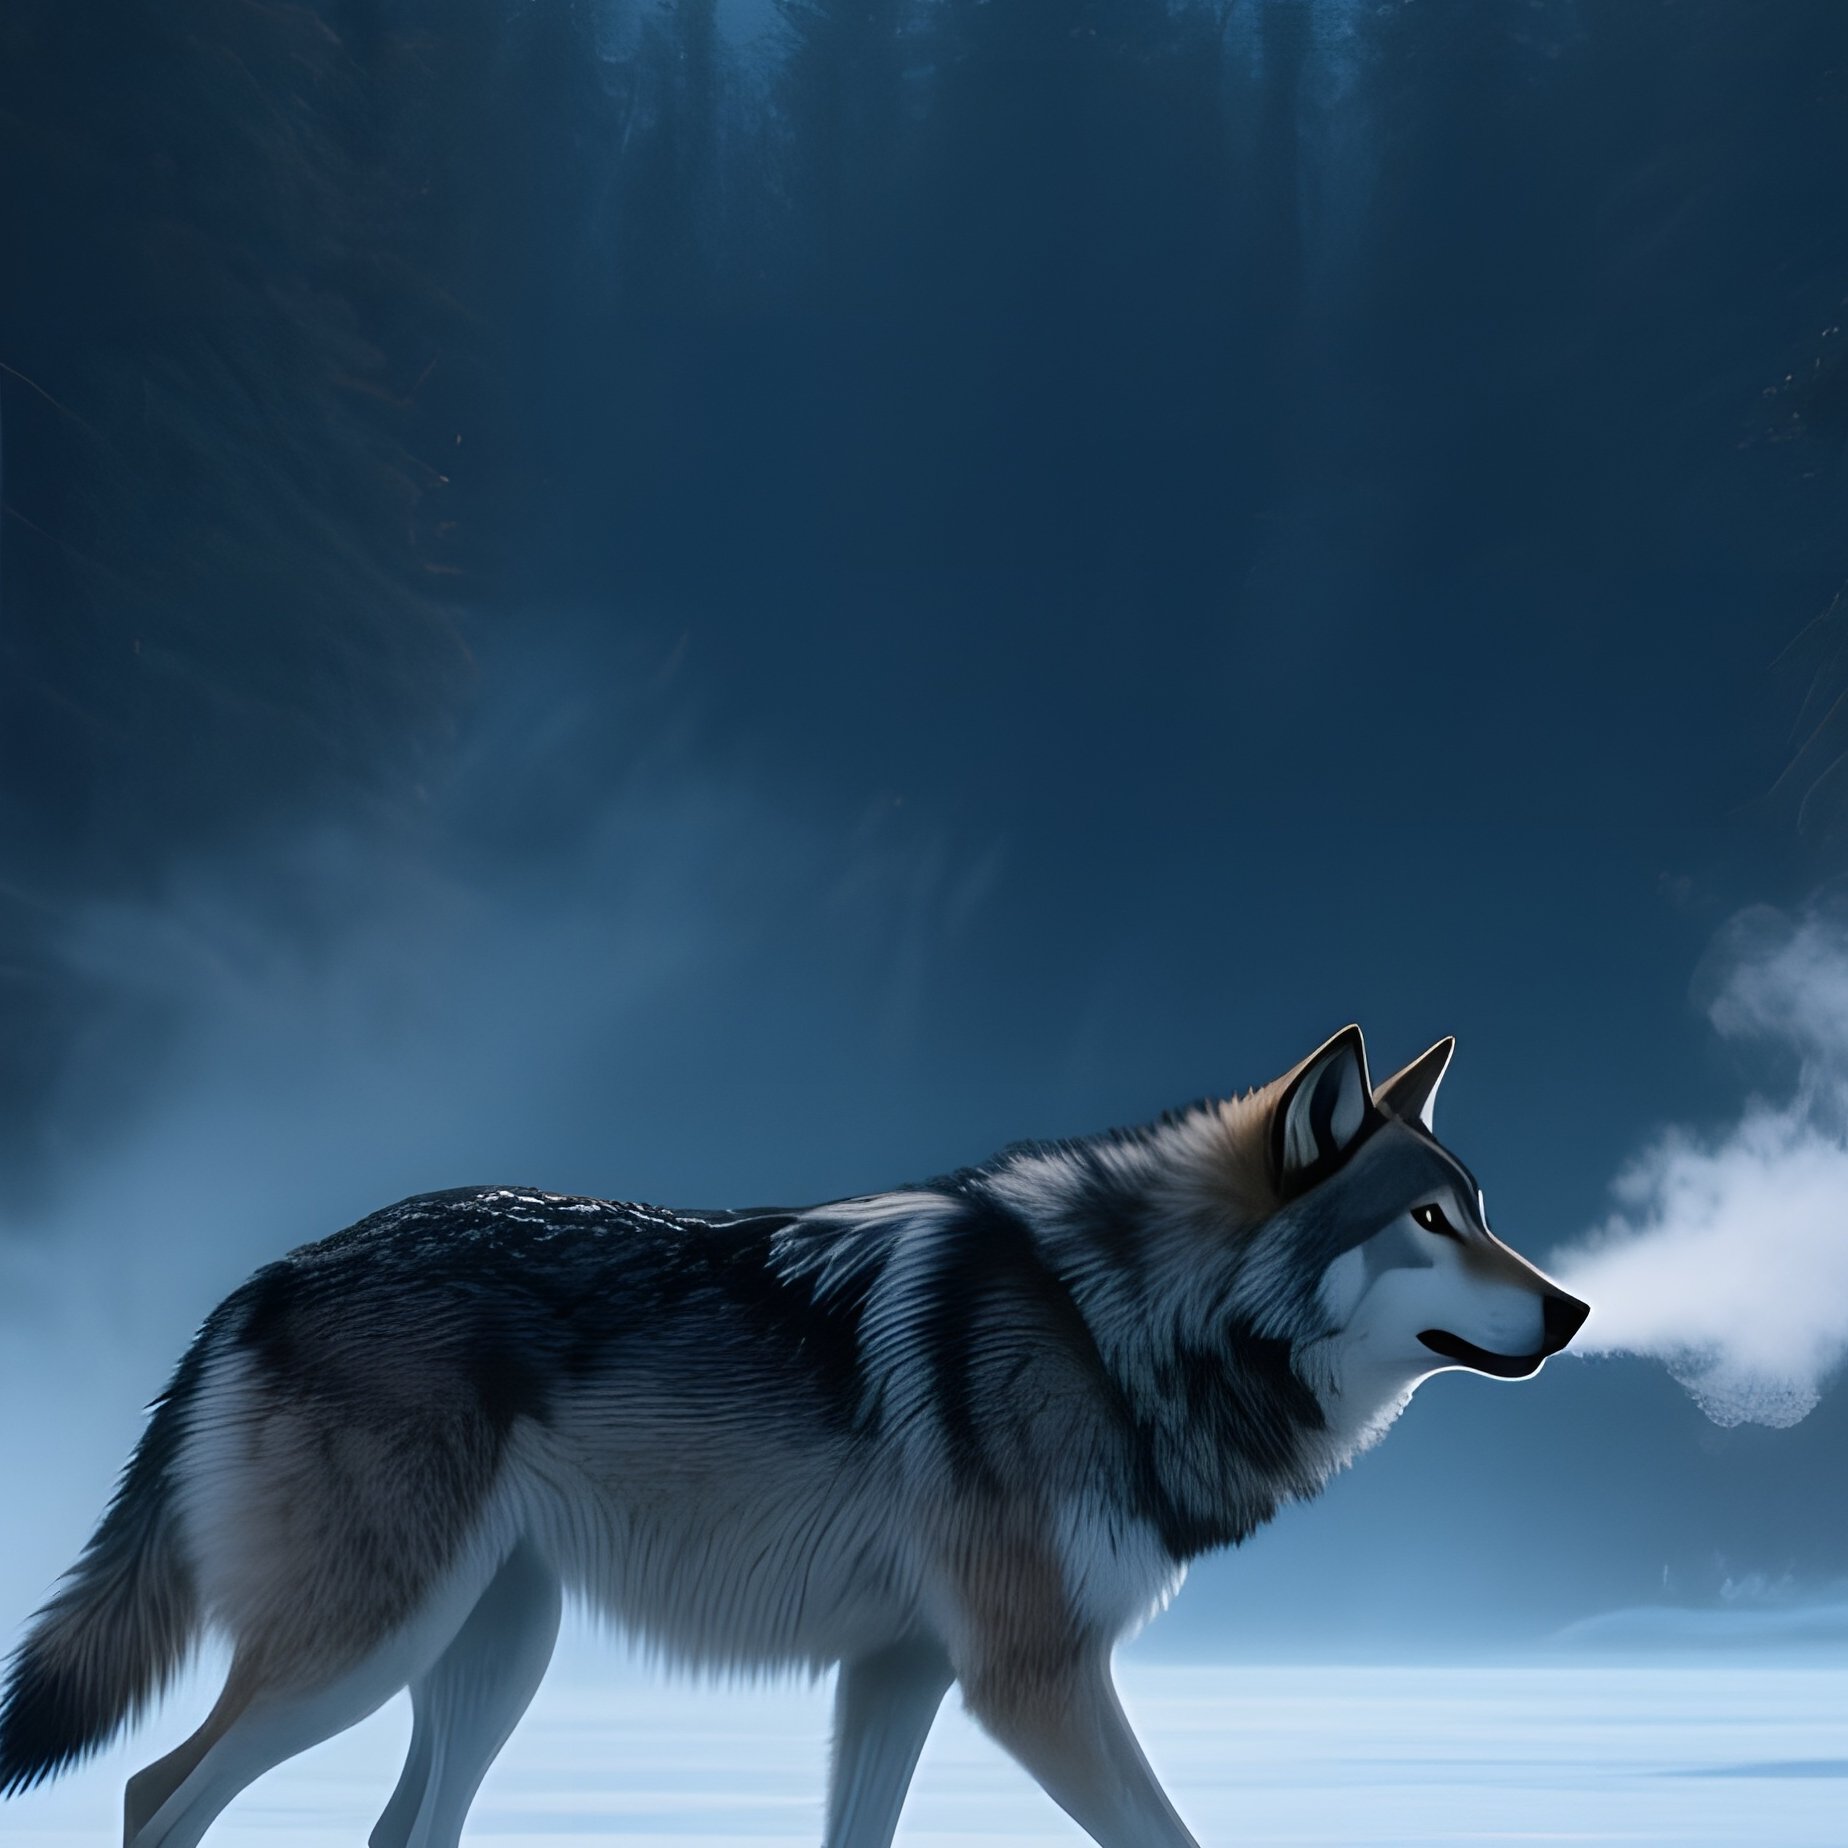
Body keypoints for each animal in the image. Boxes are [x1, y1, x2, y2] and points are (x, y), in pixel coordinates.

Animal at [0, 1025, 1588, 1848]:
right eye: (1428, 1219)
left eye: (1482, 1210)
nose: (1575, 1310)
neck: (1114, 1320)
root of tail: (264, 1277)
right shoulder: (1031, 1679)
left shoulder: (901, 1673)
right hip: (367, 1649)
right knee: (151, 1790)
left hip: (493, 1653)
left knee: (396, 1829)